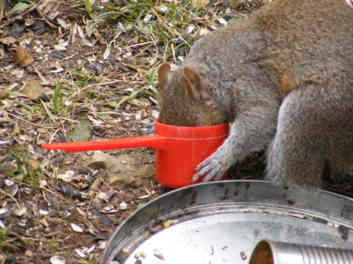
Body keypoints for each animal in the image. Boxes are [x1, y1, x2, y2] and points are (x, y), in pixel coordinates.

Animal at [157, 0, 352, 188]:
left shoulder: (252, 81)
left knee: (297, 176)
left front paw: (221, 159)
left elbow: (260, 120)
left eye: (199, 127)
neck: (220, 69)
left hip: (311, 108)